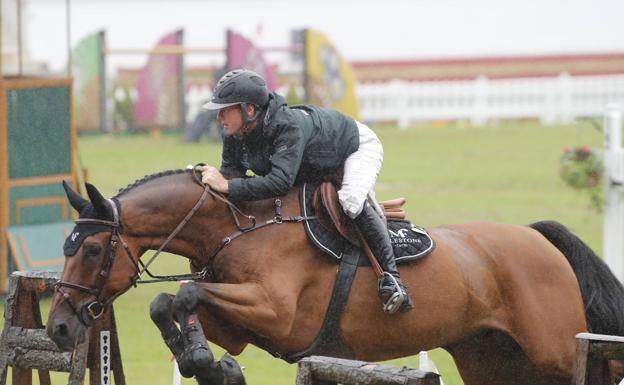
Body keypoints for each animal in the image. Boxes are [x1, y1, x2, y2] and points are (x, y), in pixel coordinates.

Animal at [46, 169, 624, 384]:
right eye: (66, 247)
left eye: (92, 248)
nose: (58, 328)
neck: (238, 227)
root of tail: (539, 239)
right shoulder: (238, 321)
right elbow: (168, 303)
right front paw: (204, 362)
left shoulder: (276, 314)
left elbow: (184, 292)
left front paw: (203, 361)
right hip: (492, 358)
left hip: (554, 348)